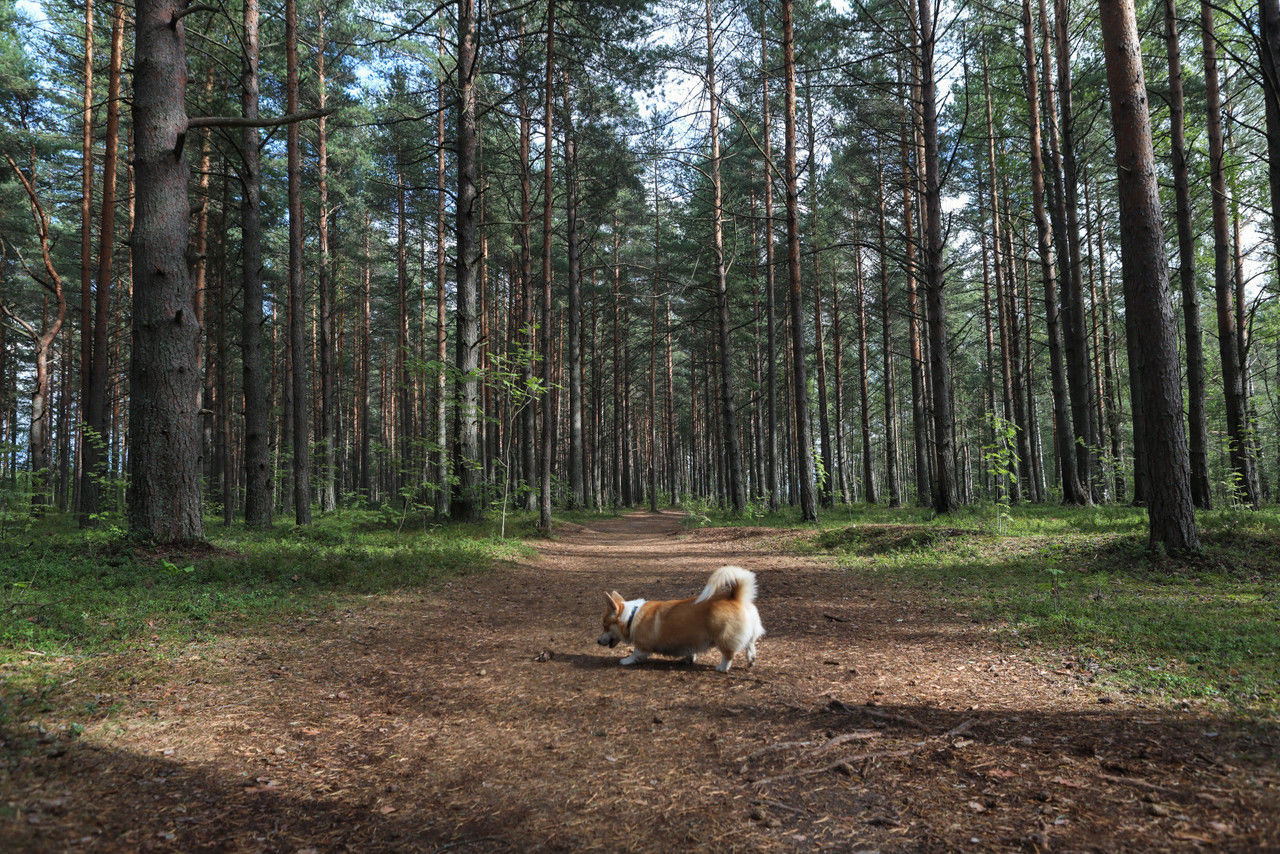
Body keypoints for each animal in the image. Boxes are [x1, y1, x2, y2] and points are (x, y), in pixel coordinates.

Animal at [596, 568, 762, 676]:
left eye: (604, 626)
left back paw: (722, 667)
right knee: (750, 644)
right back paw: (751, 661)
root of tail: (736, 597)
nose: (597, 641)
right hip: (749, 633)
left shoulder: (642, 645)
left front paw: (626, 660)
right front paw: (689, 659)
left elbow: (636, 653)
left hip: (723, 636)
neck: (631, 616)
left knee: (728, 654)